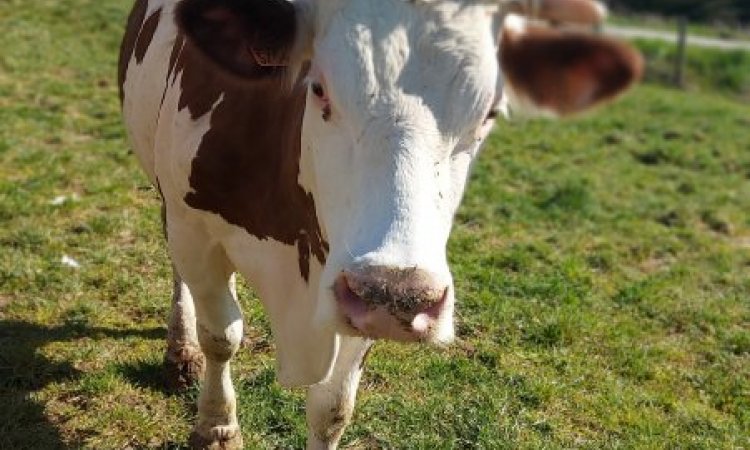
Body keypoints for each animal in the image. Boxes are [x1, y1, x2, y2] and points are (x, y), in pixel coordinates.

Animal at [120, 0, 644, 446]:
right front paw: (217, 428)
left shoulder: (357, 288)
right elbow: (222, 336)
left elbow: (332, 406)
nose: (400, 293)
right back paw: (181, 351)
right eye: (318, 88)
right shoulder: (196, 229)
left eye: (489, 113)